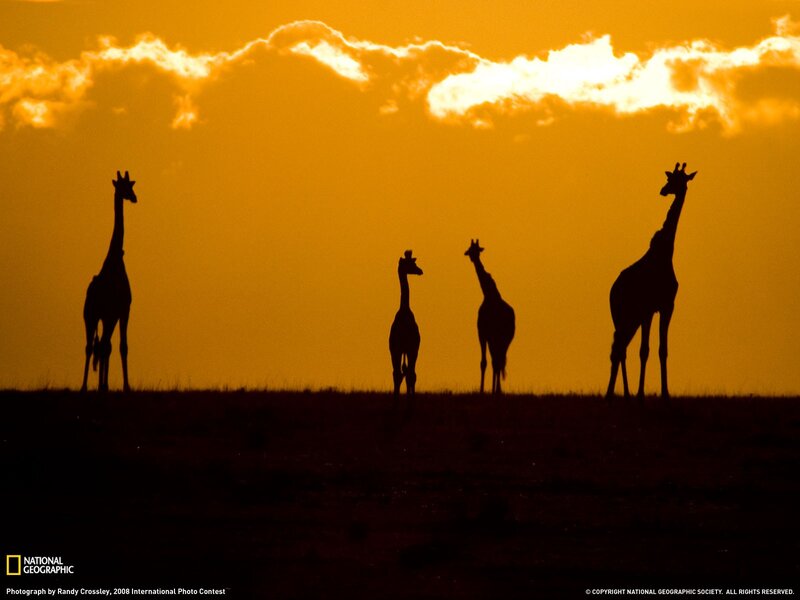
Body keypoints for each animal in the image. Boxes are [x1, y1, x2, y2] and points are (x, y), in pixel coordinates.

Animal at [81, 171, 138, 392]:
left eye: (131, 185)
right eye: (122, 187)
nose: (134, 198)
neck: (115, 260)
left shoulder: (116, 312)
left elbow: (116, 346)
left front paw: (121, 386)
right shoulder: (118, 310)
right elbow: (115, 346)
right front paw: (120, 386)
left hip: (98, 316)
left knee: (98, 345)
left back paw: (94, 386)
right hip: (96, 315)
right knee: (96, 346)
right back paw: (92, 386)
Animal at [465, 240, 515, 394]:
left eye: (475, 249)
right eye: (471, 249)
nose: (472, 257)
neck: (488, 294)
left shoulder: (484, 333)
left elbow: (489, 362)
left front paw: (486, 390)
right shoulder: (487, 334)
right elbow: (488, 362)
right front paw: (485, 389)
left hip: (502, 338)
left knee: (498, 360)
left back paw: (496, 390)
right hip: (501, 339)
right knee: (498, 360)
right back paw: (497, 389)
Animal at [605, 162, 697, 400]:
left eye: (679, 180)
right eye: (670, 178)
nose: (663, 190)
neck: (665, 254)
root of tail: (612, 290)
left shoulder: (666, 306)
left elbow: (662, 350)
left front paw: (665, 393)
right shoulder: (648, 309)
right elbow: (644, 350)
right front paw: (641, 394)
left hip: (630, 318)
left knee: (620, 347)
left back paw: (620, 393)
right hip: (623, 315)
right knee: (619, 348)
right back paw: (616, 394)